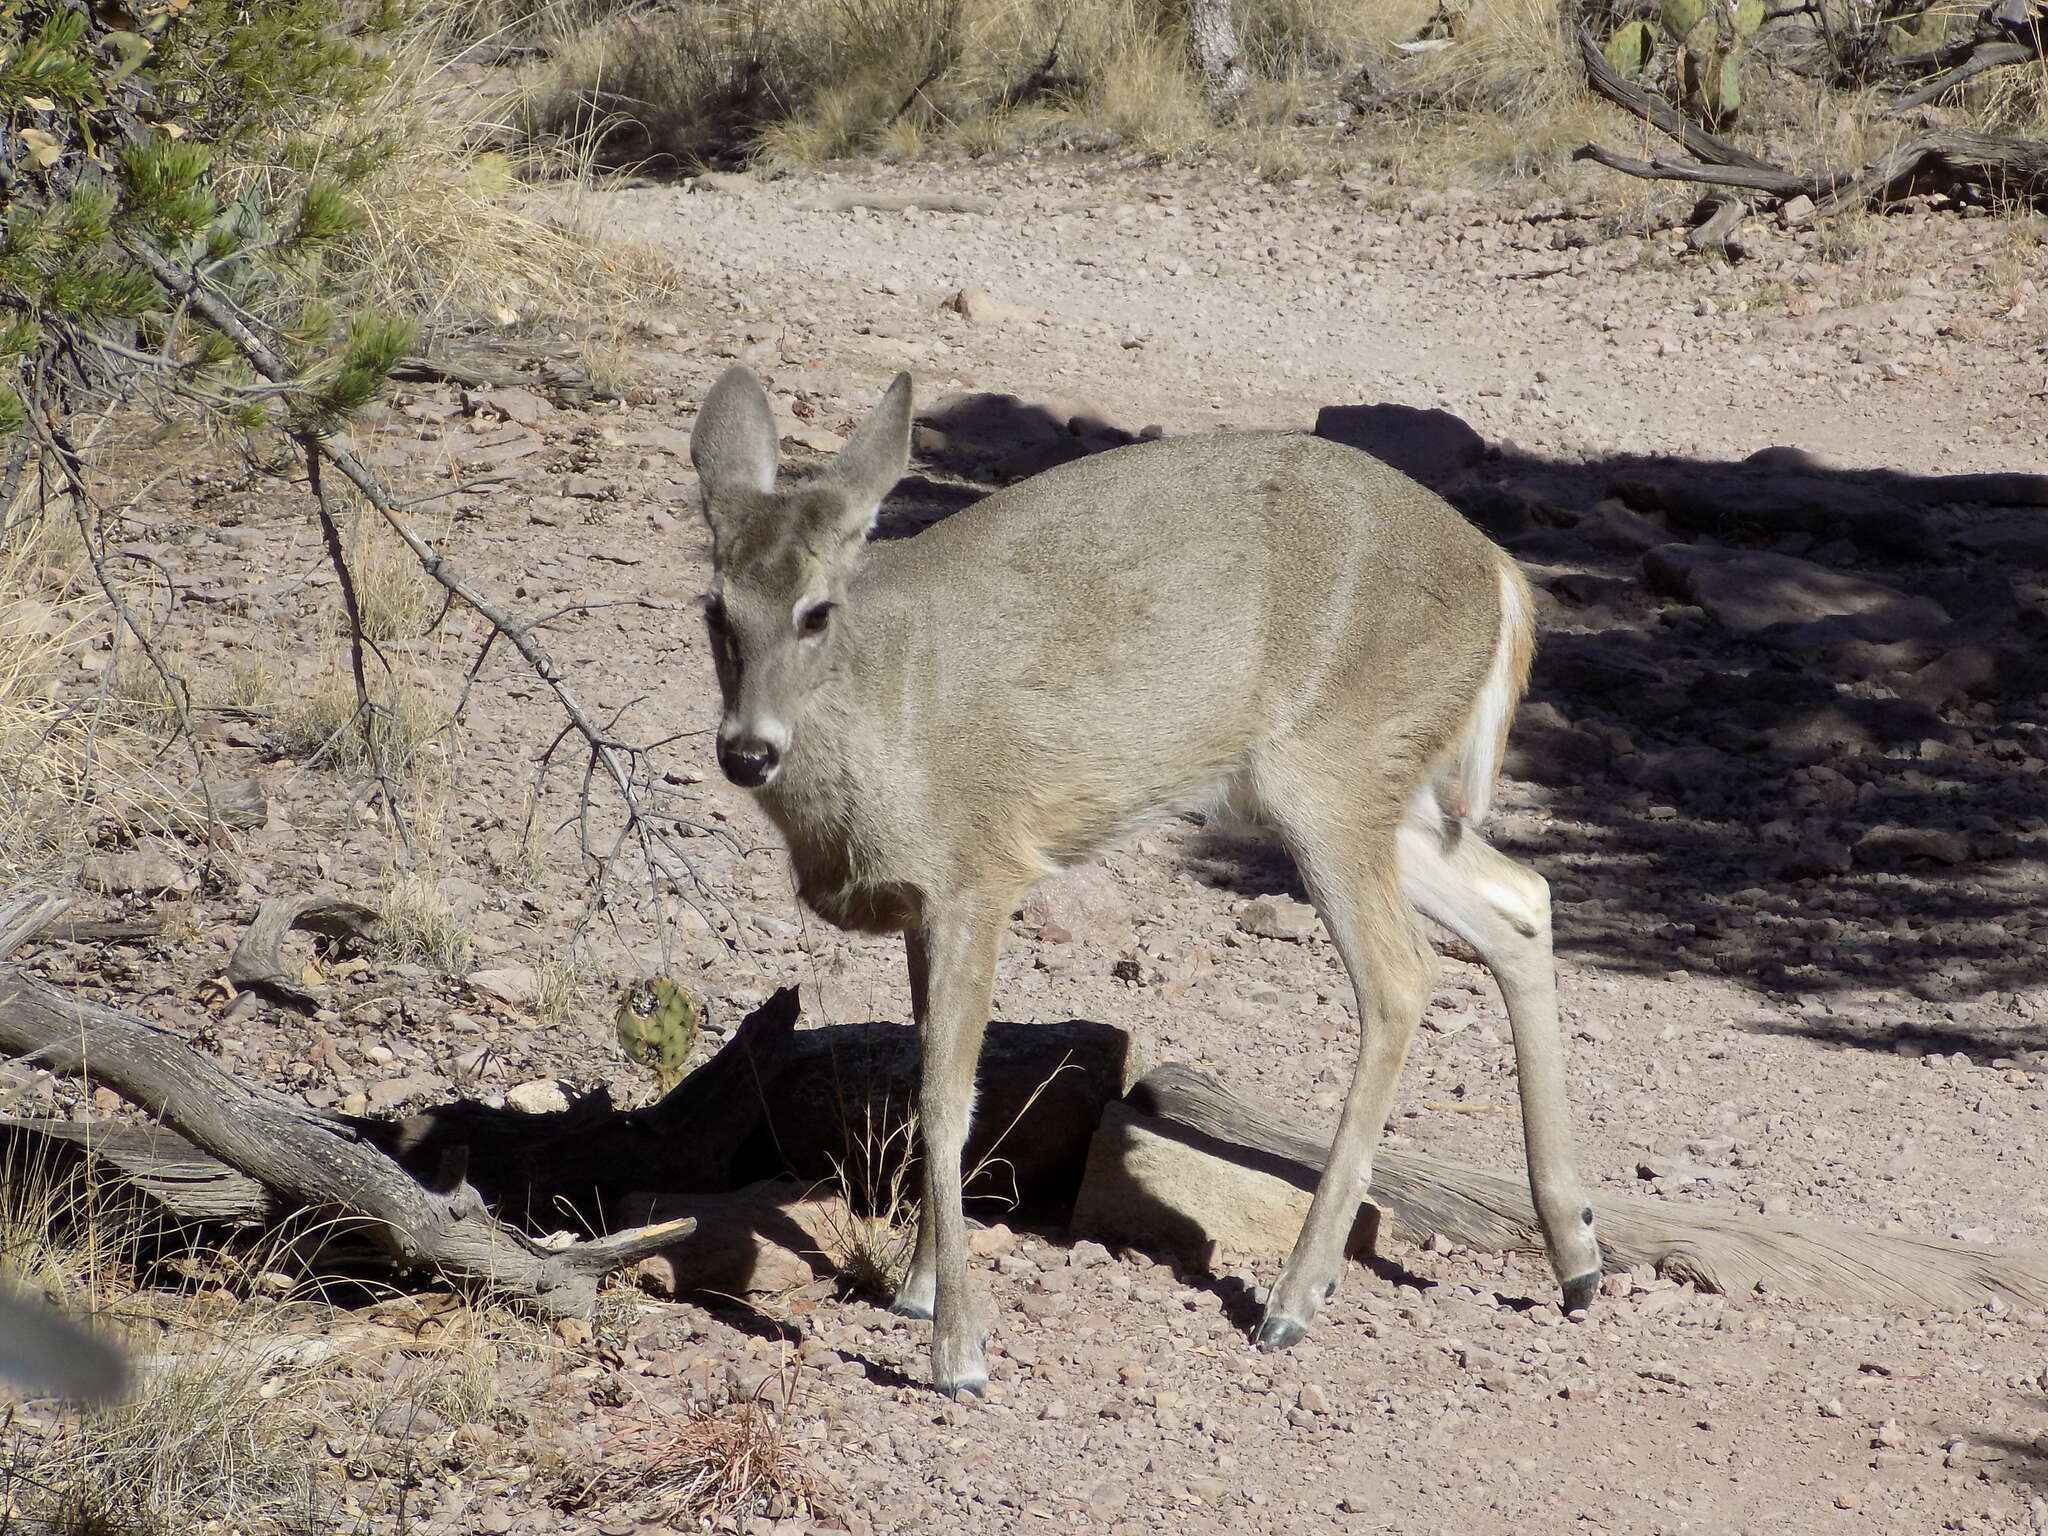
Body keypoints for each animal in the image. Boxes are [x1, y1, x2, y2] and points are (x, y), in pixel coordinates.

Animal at [696, 366, 1605, 1400]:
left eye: (816, 612)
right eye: (715, 611)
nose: (747, 750)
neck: (885, 719)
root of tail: (1500, 575)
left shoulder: (978, 874)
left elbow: (946, 1099)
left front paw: (959, 1352)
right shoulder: (925, 910)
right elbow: (930, 1082)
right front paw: (921, 1290)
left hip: (1331, 772)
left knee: (1403, 976)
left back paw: (1294, 1301)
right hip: (1367, 788)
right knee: (1520, 899)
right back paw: (1575, 1255)